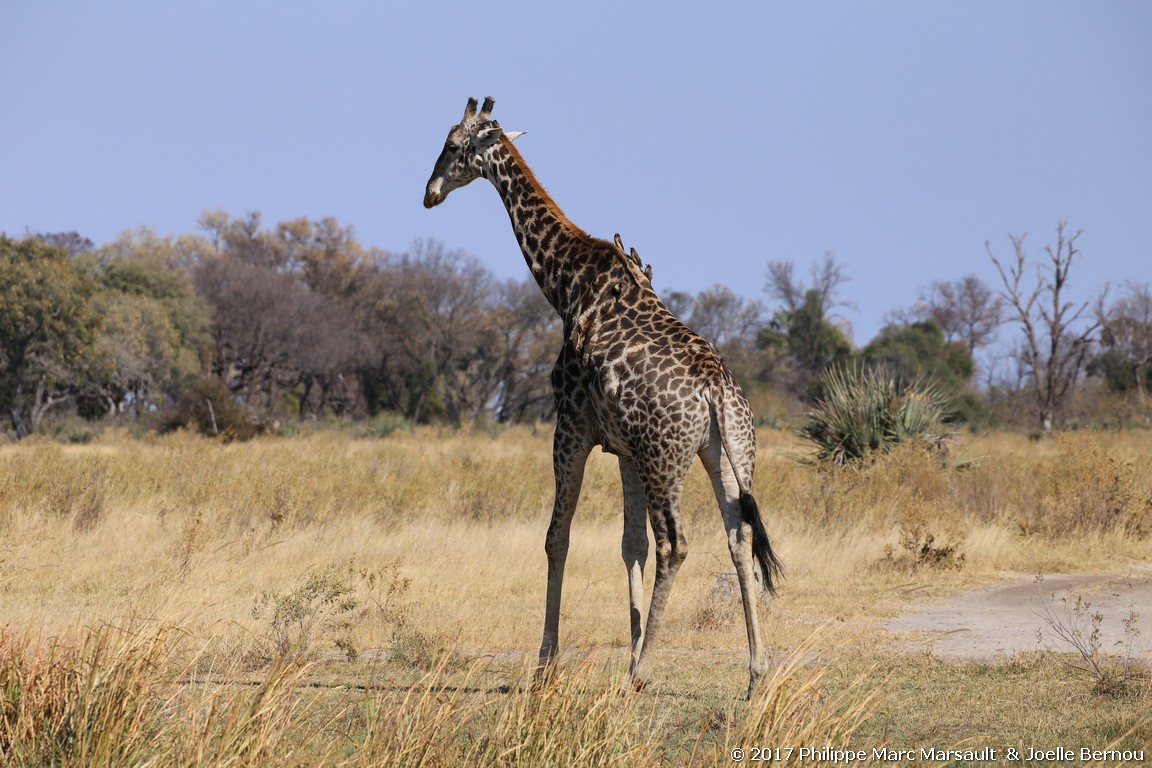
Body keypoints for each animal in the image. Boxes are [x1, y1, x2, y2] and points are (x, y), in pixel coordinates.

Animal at [423, 96, 783, 695]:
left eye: (452, 145)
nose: (428, 192)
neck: (565, 285)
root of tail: (714, 389)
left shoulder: (570, 425)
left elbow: (557, 538)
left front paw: (546, 666)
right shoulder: (624, 449)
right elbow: (628, 545)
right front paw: (629, 645)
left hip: (665, 458)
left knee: (676, 544)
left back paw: (641, 675)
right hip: (728, 452)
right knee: (738, 538)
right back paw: (755, 675)